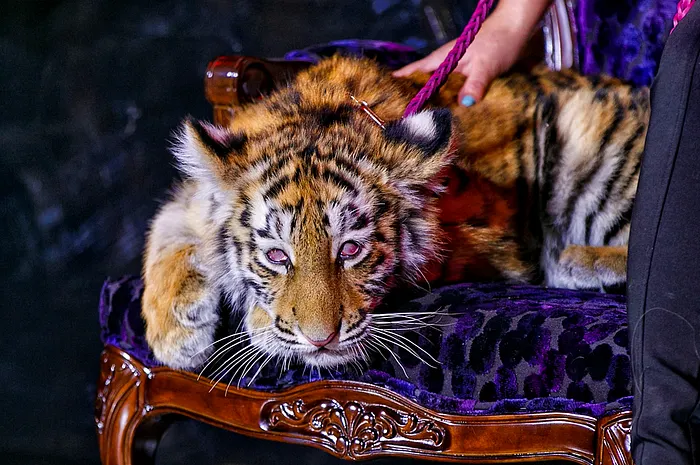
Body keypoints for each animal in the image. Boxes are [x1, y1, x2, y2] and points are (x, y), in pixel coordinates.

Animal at [142, 55, 649, 371]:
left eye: (350, 250)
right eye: (277, 257)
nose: (320, 340)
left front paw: (260, 326)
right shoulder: (193, 201)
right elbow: (167, 229)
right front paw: (176, 337)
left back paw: (576, 261)